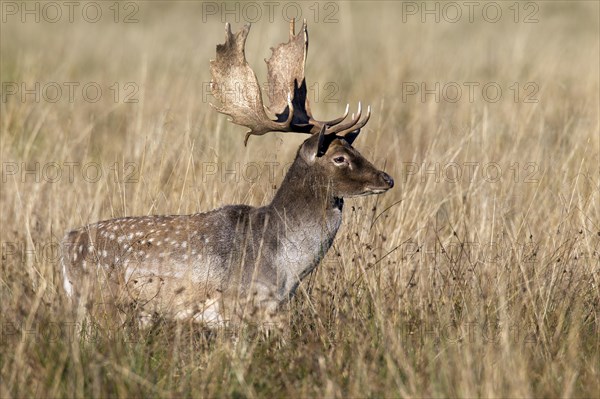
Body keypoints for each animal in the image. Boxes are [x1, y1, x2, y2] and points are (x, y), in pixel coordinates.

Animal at [62, 20, 394, 326]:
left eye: (354, 148)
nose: (386, 179)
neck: (284, 267)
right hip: (102, 301)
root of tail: (66, 244)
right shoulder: (246, 305)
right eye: (339, 158)